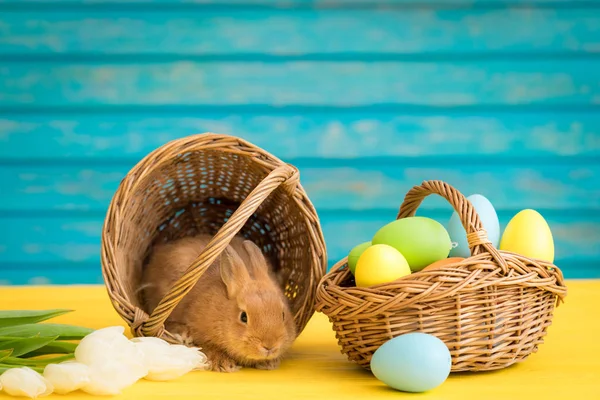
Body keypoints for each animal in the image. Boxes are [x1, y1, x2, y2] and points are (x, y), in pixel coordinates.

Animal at [139, 234, 298, 372]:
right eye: (243, 317)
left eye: (283, 315)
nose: (269, 346)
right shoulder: (201, 333)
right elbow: (208, 348)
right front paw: (225, 365)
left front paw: (270, 363)